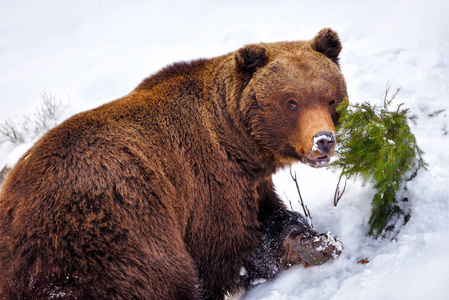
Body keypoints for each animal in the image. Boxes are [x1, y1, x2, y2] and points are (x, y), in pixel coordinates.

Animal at [0, 28, 346, 300]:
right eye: (291, 102)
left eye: (330, 97)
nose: (323, 140)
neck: (238, 144)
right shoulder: (208, 183)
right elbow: (228, 251)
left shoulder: (250, 183)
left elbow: (270, 219)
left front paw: (316, 241)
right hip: (105, 232)